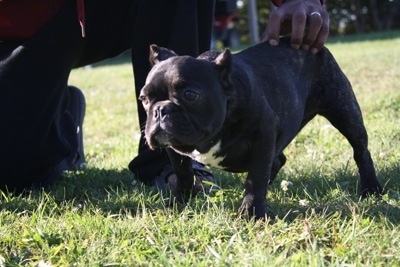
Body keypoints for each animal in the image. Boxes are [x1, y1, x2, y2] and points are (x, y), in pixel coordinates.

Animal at [139, 37, 382, 219]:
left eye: (190, 95)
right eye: (144, 98)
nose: (160, 110)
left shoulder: (263, 136)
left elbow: (255, 177)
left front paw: (251, 213)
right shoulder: (175, 147)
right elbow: (183, 173)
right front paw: (179, 202)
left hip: (345, 112)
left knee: (361, 151)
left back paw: (371, 188)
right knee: (278, 159)